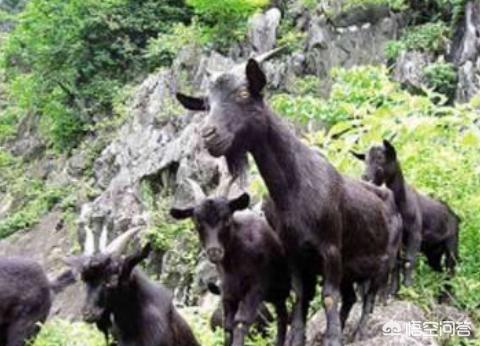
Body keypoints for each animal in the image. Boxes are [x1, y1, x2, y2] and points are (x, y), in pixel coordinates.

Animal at [170, 185, 288, 346]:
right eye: (197, 222)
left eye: (226, 219)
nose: (214, 251)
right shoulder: (228, 292)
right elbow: (227, 326)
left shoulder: (255, 287)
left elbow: (241, 321)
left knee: (283, 317)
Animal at [352, 139, 462, 294]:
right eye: (365, 159)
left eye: (381, 158)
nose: (365, 177)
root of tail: (455, 216)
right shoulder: (397, 238)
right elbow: (396, 263)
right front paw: (393, 291)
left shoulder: (415, 232)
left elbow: (410, 260)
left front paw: (408, 287)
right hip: (433, 251)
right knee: (440, 270)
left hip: (452, 242)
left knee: (450, 267)